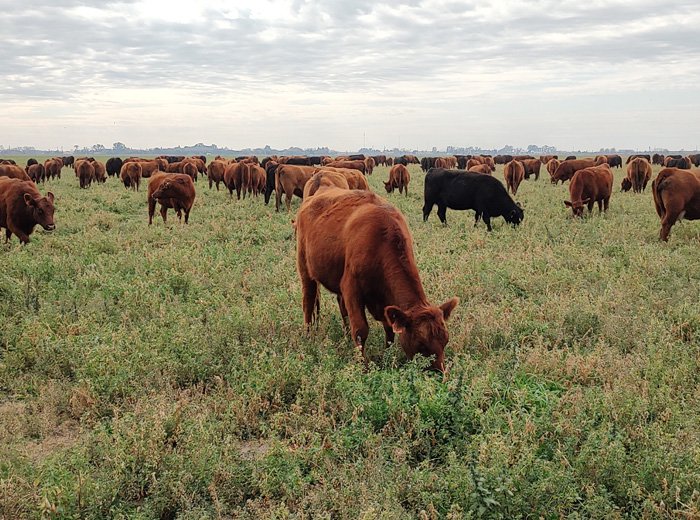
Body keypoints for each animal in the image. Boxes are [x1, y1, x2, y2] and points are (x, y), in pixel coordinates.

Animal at [296, 189, 460, 372]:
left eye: (445, 340)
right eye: (421, 344)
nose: (441, 373)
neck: (380, 241)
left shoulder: (384, 300)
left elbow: (389, 330)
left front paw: (386, 355)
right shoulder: (351, 288)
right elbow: (360, 330)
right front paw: (364, 365)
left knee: (341, 308)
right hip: (305, 269)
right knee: (308, 302)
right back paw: (309, 337)